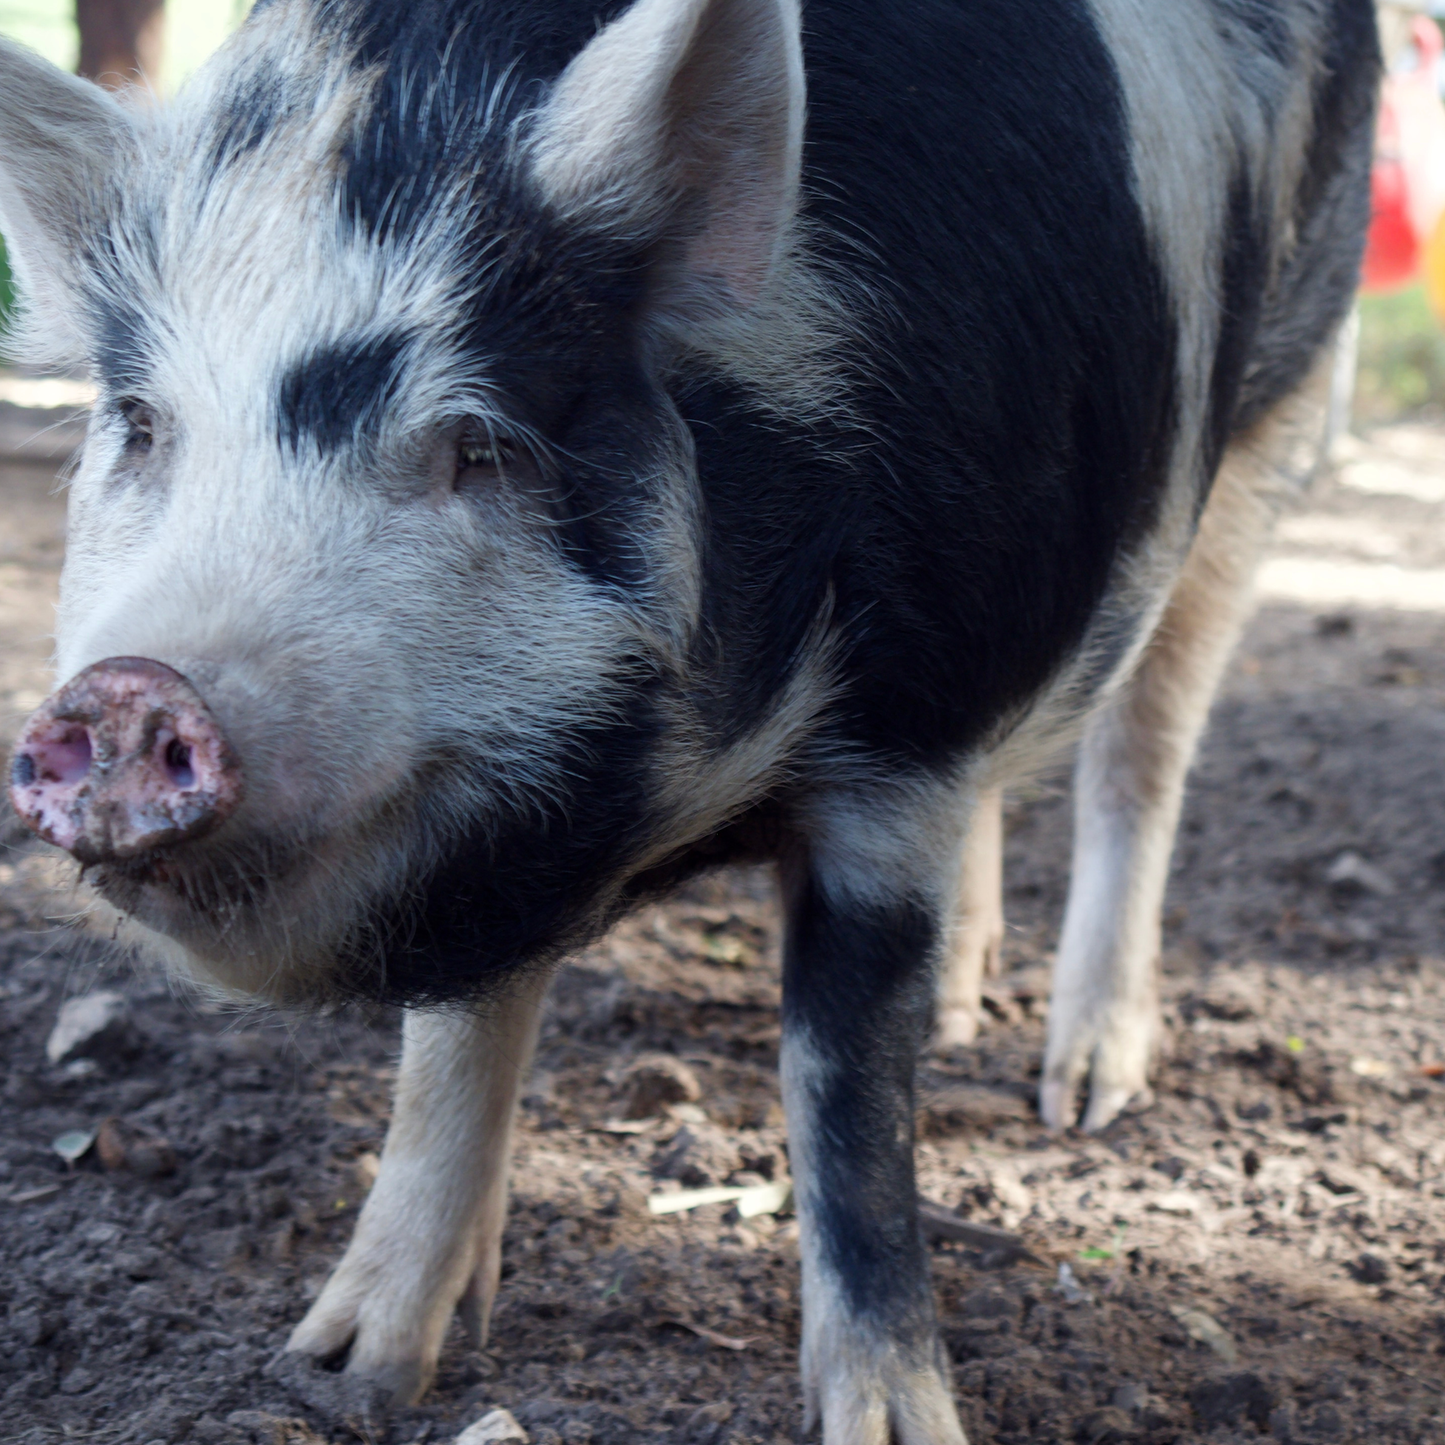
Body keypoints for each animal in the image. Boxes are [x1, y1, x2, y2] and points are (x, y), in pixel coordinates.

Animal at [0, 0, 1376, 1437]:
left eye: (475, 441)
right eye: (141, 424)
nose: (132, 688)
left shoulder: (910, 741)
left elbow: (848, 1088)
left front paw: (897, 1421)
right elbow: (453, 1040)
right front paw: (336, 1371)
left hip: (1276, 418)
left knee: (1143, 751)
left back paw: (1085, 1093)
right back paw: (965, 1012)